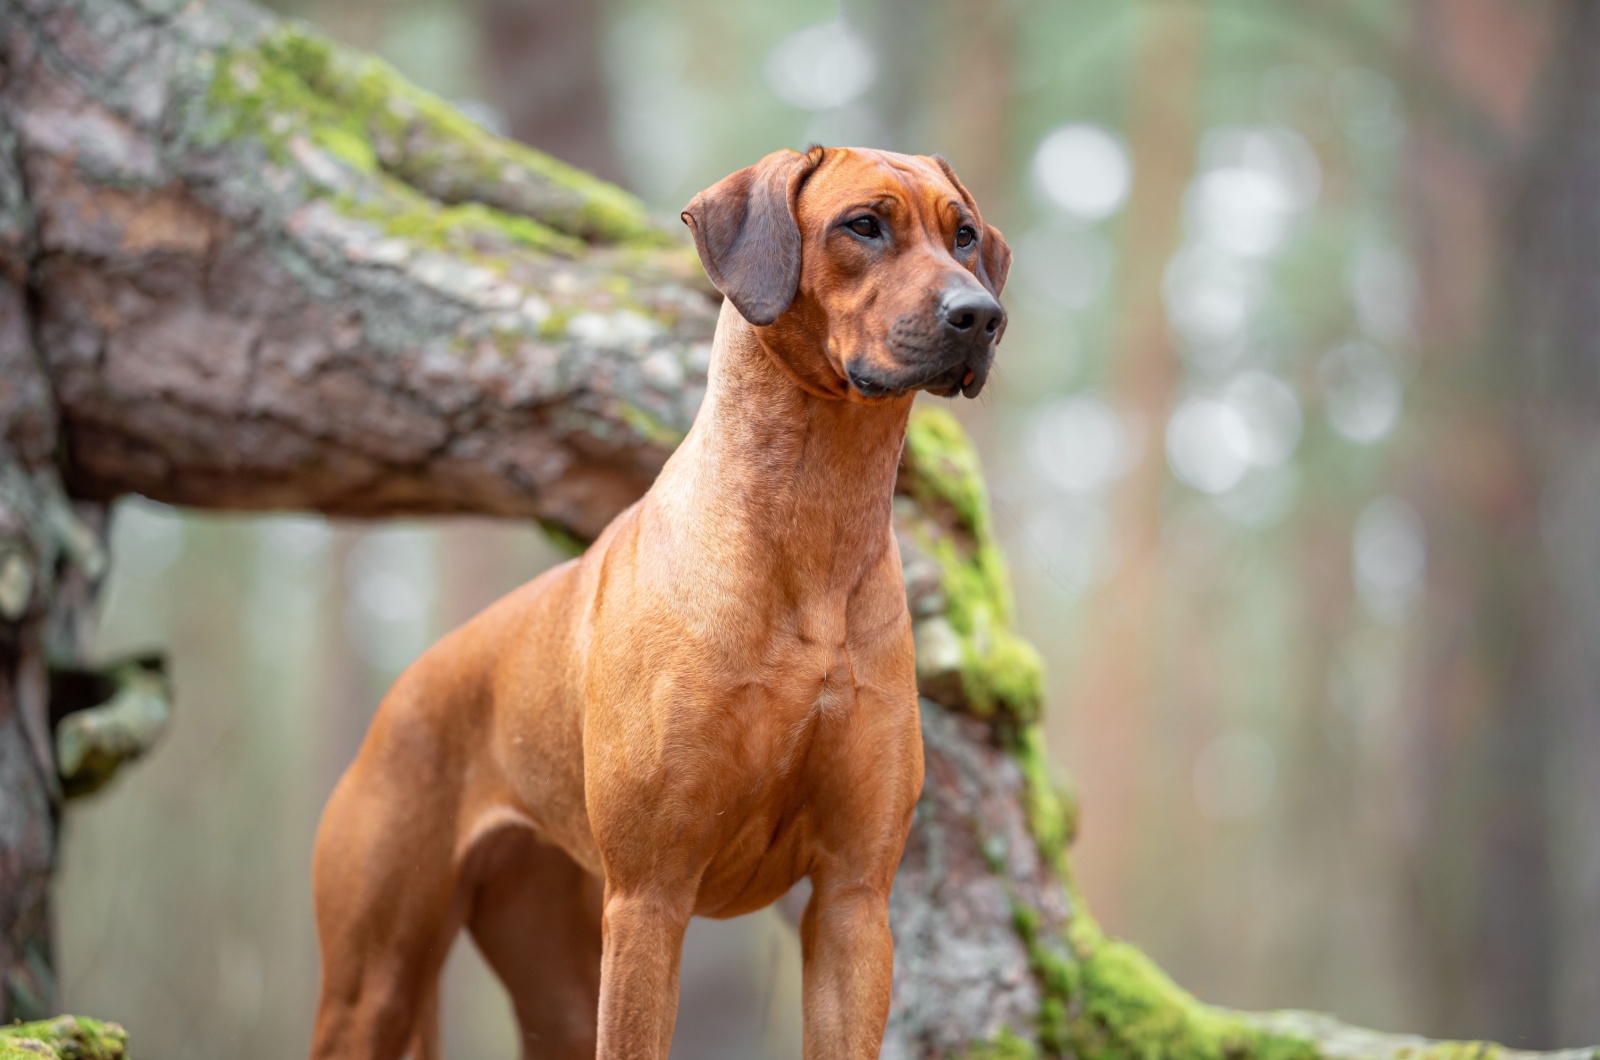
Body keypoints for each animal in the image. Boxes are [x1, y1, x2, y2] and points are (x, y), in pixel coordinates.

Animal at [310, 143, 1004, 1060]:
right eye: (863, 225)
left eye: (964, 236)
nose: (983, 316)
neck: (815, 527)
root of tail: (400, 694)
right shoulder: (651, 894)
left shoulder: (855, 901)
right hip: (374, 983)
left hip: (555, 966)